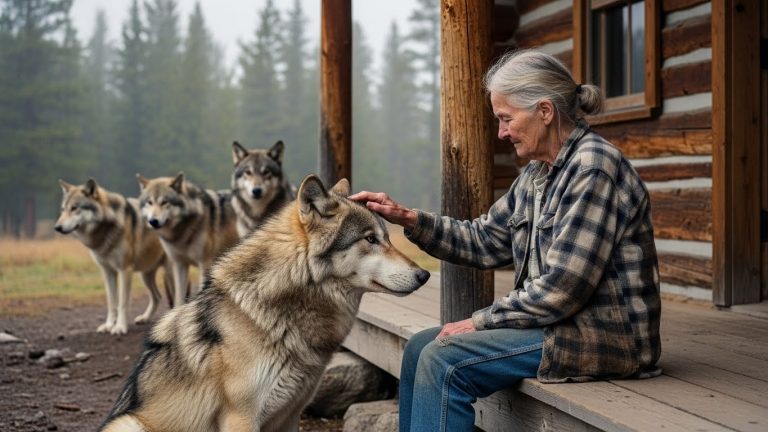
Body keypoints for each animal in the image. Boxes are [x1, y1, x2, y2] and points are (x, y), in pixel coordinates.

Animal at [55, 178, 170, 335]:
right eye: (63, 209)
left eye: (74, 208)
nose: (57, 227)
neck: (105, 229)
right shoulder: (108, 272)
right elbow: (111, 302)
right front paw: (108, 325)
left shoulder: (124, 270)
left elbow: (122, 303)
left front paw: (120, 327)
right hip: (145, 275)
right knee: (157, 296)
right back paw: (145, 318)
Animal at [137, 172, 240, 308]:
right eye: (149, 202)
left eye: (164, 202)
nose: (153, 221)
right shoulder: (179, 264)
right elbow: (179, 299)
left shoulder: (204, 263)